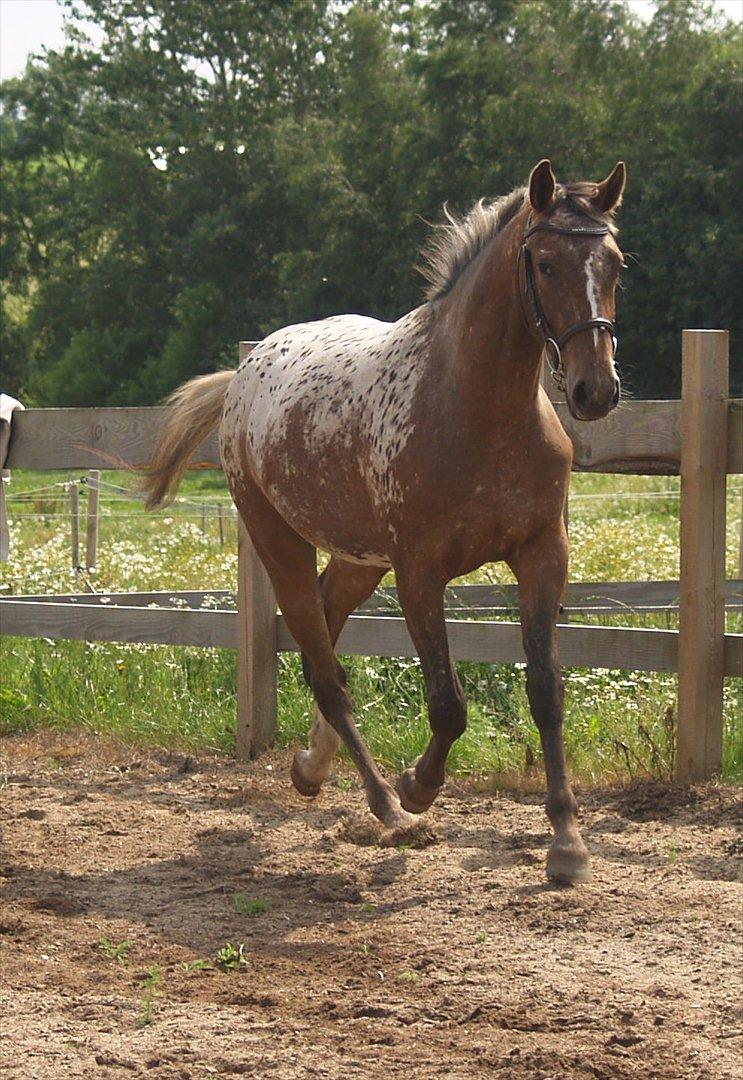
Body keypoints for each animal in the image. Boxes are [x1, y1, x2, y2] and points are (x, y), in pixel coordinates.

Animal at [140, 159, 626, 885]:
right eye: (542, 262)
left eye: (614, 262)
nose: (595, 391)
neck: (476, 405)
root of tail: (247, 373)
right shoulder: (419, 573)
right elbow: (449, 706)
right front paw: (417, 787)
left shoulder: (543, 555)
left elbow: (545, 691)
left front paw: (567, 845)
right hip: (277, 540)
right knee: (324, 668)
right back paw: (384, 807)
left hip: (355, 558)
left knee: (326, 633)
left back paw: (312, 767)